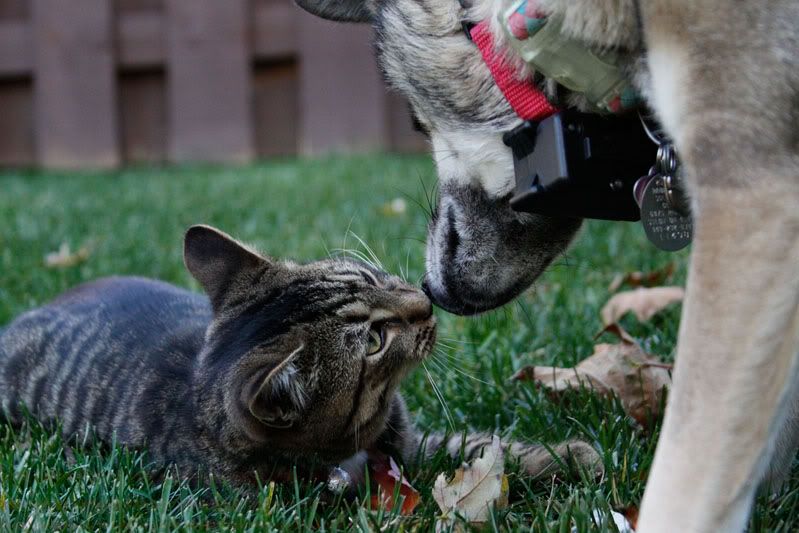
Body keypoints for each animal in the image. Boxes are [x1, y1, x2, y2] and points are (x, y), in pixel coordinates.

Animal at [0, 224, 600, 486]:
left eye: (369, 278)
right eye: (374, 341)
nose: (425, 300)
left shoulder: (410, 442)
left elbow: (480, 447)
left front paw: (568, 456)